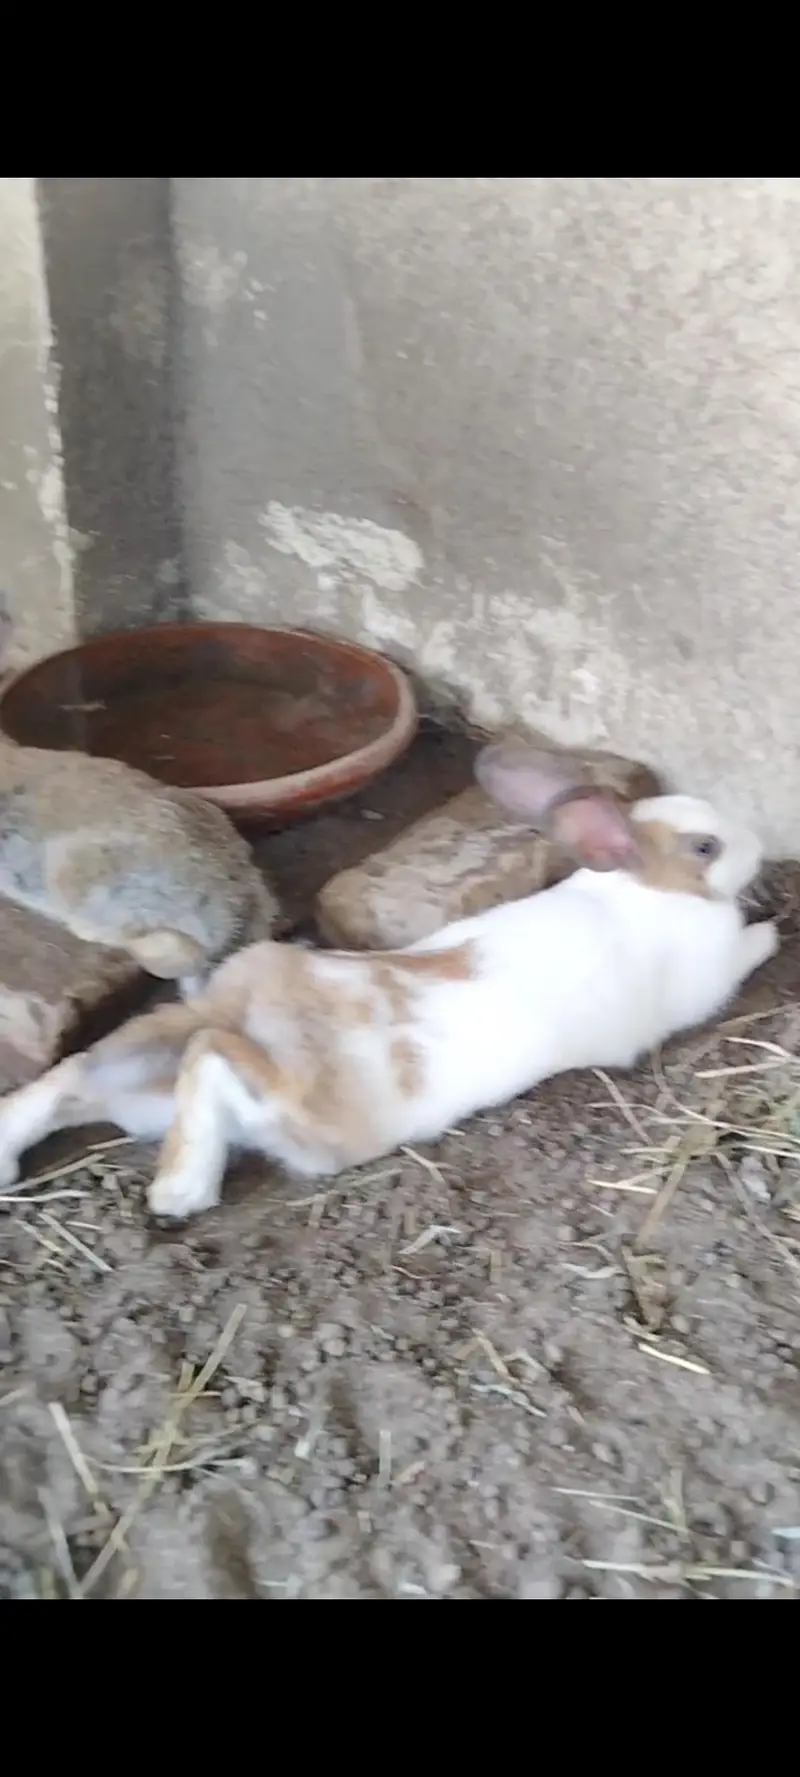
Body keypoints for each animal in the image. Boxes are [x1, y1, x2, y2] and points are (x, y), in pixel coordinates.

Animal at [0, 742, 776, 1221]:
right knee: (212, 1060)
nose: (761, 846)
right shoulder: (709, 976)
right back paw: (179, 1193)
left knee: (75, 1077)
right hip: (318, 1120)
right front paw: (771, 932)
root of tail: (245, 1004)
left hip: (143, 1064)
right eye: (706, 846)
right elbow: (746, 952)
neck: (647, 888)